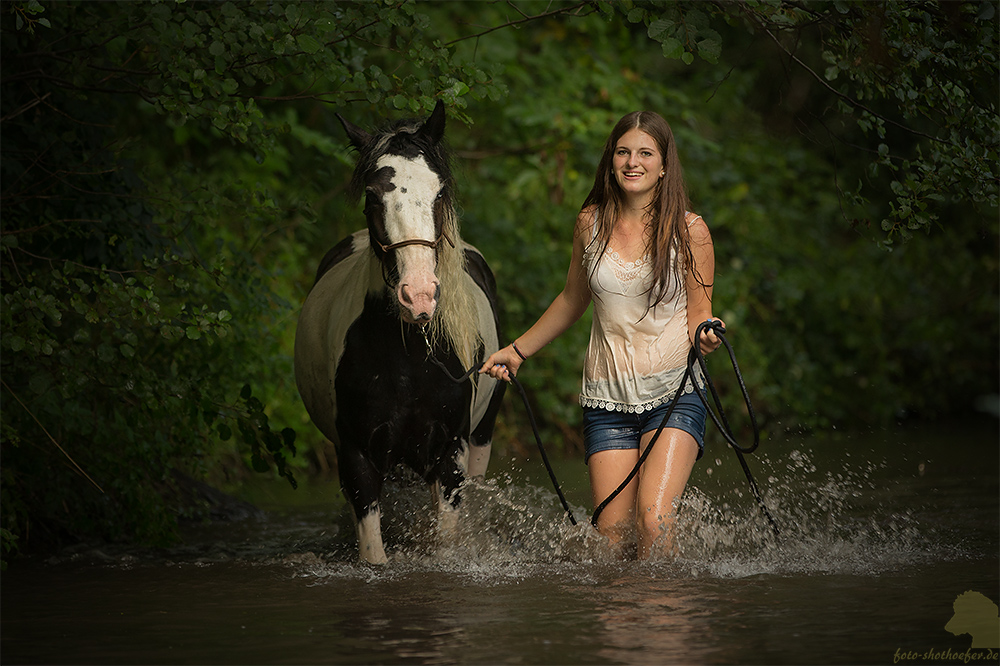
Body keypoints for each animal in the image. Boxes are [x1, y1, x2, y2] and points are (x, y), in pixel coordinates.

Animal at [292, 101, 504, 564]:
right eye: (373, 196)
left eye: (439, 192)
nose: (418, 295)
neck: (408, 356)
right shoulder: (356, 456)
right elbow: (374, 552)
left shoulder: (450, 456)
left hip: (481, 439)